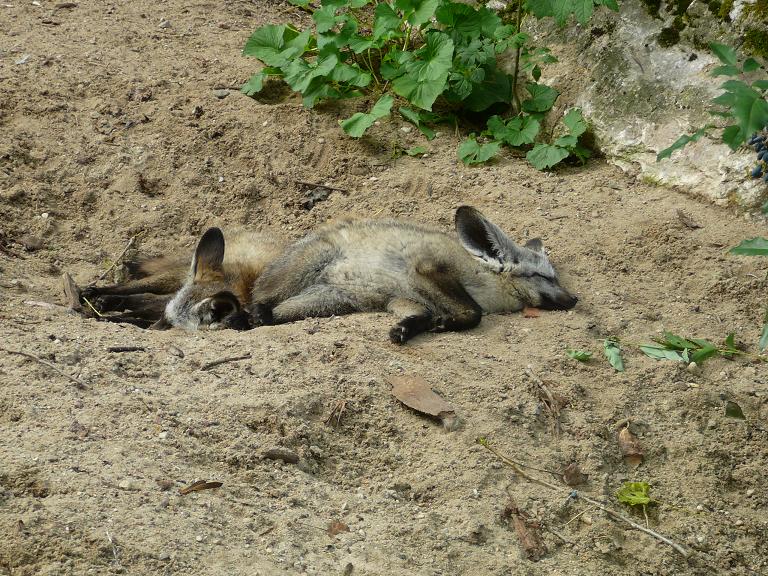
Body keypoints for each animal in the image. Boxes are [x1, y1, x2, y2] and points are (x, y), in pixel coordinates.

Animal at [80, 206, 578, 342]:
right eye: (547, 278)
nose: (574, 301)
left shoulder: (401, 296)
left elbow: (429, 314)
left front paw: (412, 328)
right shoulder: (428, 269)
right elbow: (470, 313)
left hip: (327, 302)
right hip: (306, 282)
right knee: (257, 308)